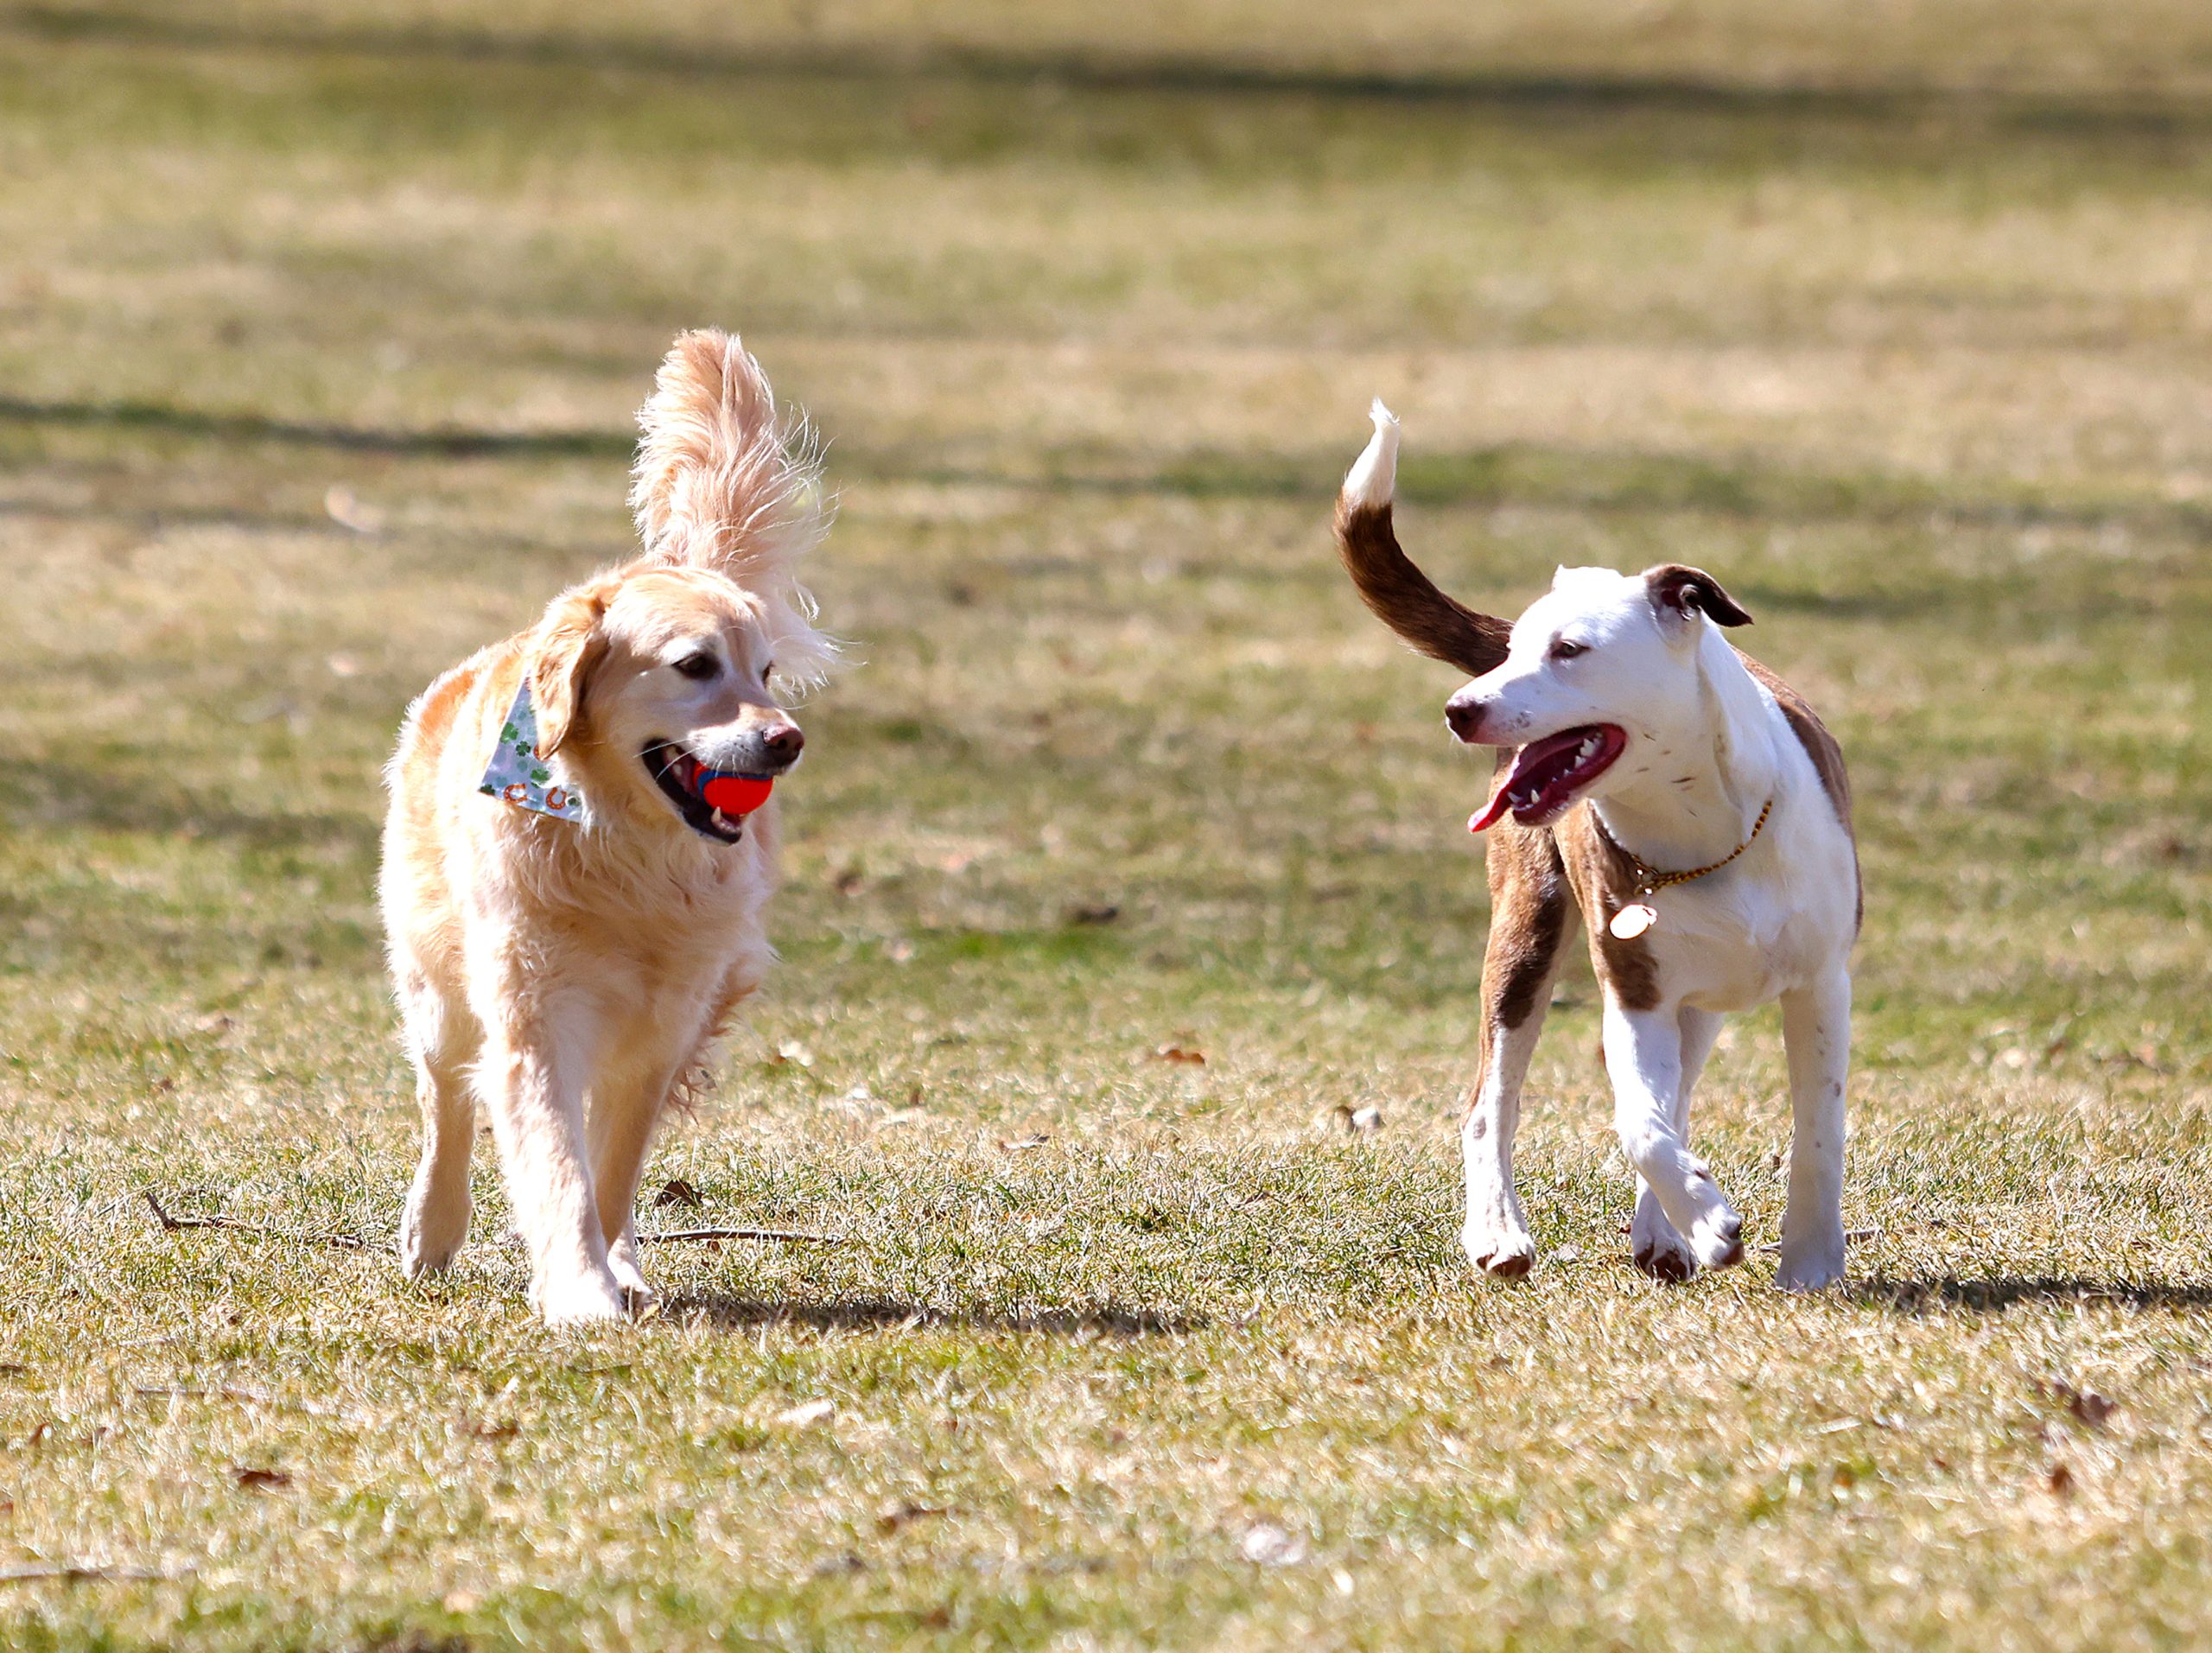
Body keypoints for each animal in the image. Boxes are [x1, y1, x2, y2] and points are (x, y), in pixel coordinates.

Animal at [380, 330, 835, 1325]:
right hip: (436, 986)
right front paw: (582, 1291)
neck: (624, 855)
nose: (787, 741)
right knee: (446, 1104)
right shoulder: (534, 1016)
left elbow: (612, 1166)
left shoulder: (662, 1025)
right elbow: (554, 1161)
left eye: (765, 671)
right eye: (695, 665)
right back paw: (432, 1230)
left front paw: (611, 1269)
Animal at [1335, 402, 1859, 1290]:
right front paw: (1711, 1219)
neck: (1706, 832)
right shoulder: (1636, 988)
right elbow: (1638, 1122)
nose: (1460, 708)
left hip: (1694, 997)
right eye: (1516, 651)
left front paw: (1809, 1261)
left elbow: (1814, 1129)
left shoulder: (1819, 981)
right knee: (1491, 1099)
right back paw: (1503, 1231)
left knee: (1678, 1089)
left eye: (1570, 650)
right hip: (1528, 933)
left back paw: (1661, 1229)